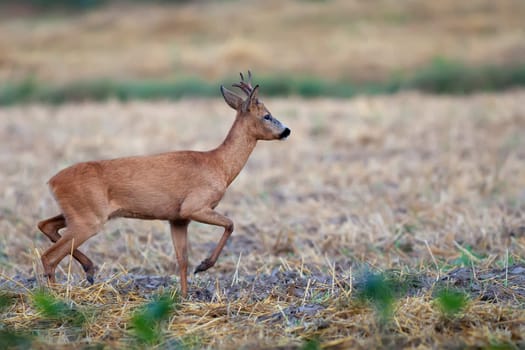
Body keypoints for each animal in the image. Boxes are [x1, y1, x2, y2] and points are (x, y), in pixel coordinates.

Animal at [36, 72, 290, 298]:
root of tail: (52, 181)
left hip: (79, 213)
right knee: (49, 256)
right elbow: (230, 224)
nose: (286, 130)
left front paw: (184, 296)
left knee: (45, 226)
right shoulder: (194, 206)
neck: (219, 165)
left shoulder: (177, 218)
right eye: (267, 115)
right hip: (88, 218)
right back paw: (58, 297)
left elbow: (182, 258)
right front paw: (204, 265)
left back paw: (88, 270)